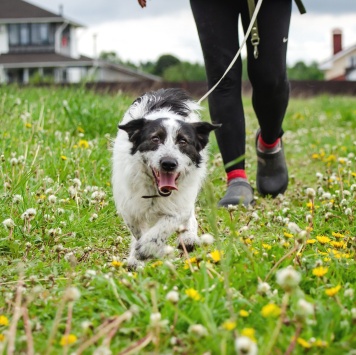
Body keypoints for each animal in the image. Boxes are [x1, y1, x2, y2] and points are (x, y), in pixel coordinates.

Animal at [112, 87, 218, 268]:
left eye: (183, 141)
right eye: (155, 139)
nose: (169, 163)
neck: (155, 191)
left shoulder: (181, 201)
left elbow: (170, 221)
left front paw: (149, 247)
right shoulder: (129, 207)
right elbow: (138, 232)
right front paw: (142, 254)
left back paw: (188, 237)